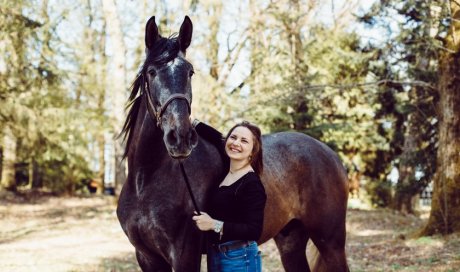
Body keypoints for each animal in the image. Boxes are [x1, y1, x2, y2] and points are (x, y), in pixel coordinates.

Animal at [117, 15, 348, 270]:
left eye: (190, 72)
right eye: (151, 72)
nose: (180, 137)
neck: (145, 181)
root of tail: (331, 155)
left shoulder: (185, 256)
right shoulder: (146, 257)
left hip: (331, 243)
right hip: (291, 241)